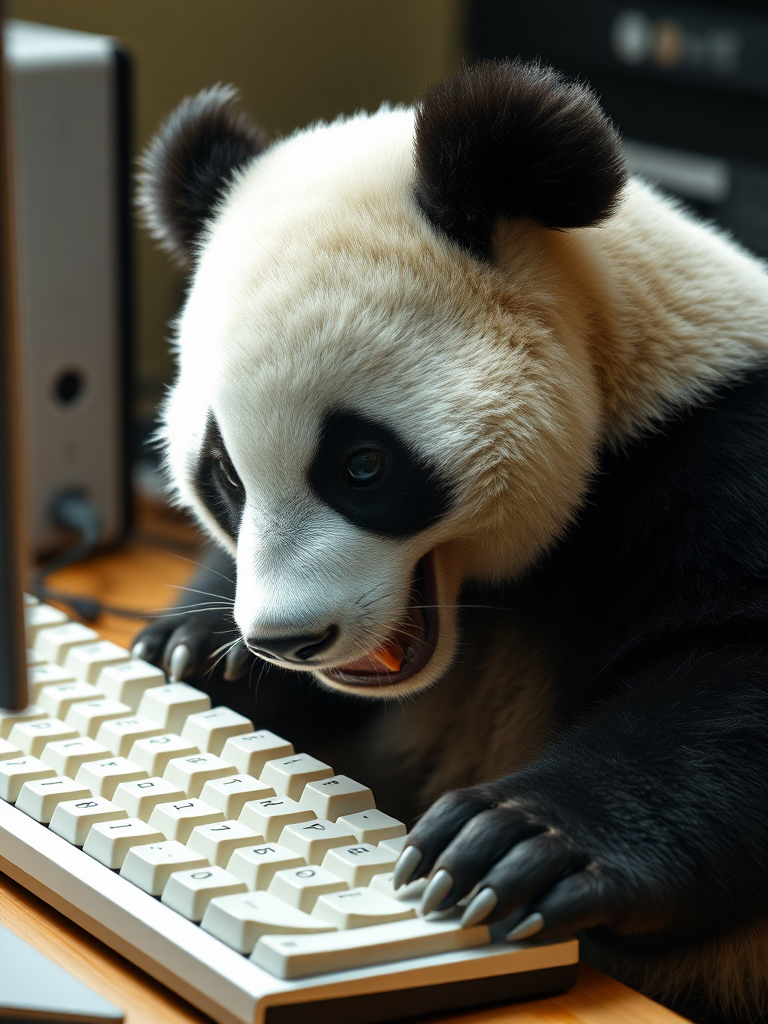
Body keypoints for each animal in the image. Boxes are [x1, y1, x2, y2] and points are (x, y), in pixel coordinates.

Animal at [135, 61, 768, 1024]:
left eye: (362, 466)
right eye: (227, 479)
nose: (288, 640)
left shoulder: (714, 453)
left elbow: (732, 680)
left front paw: (513, 840)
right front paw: (202, 653)